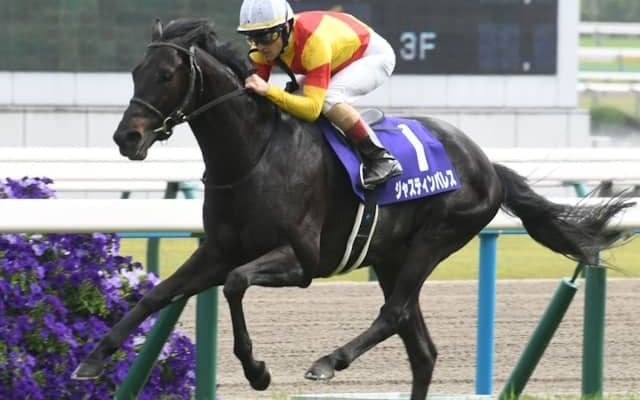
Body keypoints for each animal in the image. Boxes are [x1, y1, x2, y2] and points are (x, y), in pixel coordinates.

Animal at [72, 18, 633, 399]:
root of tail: (487, 164)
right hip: (390, 256)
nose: (127, 137)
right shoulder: (218, 250)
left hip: (435, 239)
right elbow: (156, 295)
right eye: (135, 71)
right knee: (421, 350)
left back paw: (328, 360)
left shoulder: (299, 260)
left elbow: (234, 286)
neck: (254, 153)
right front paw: (94, 358)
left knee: (394, 313)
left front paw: (258, 370)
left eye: (167, 74)